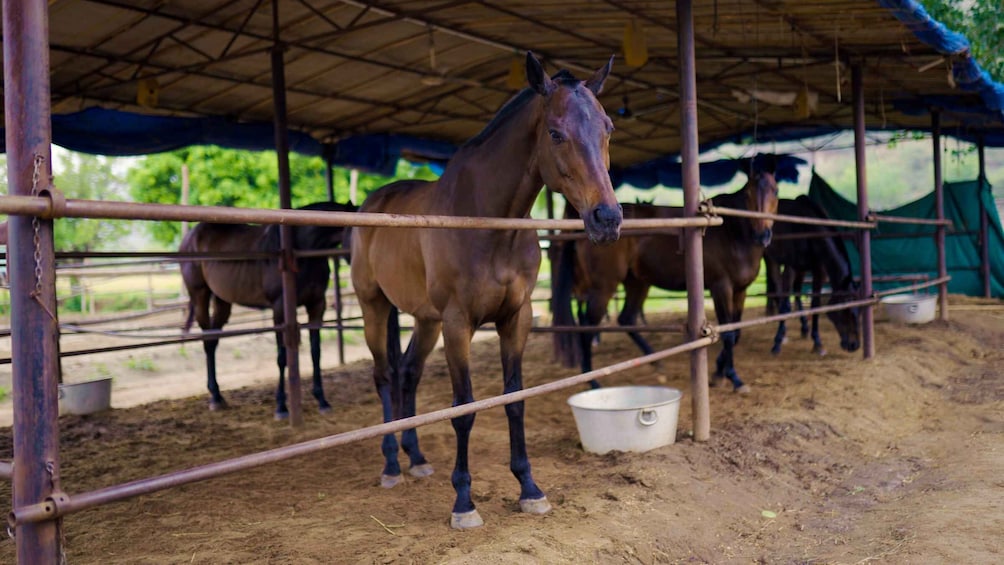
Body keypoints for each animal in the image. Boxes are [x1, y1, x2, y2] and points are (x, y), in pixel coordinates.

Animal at [182, 202, 359, 419]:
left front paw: (322, 400)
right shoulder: (280, 309)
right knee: (207, 340)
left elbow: (316, 353)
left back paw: (218, 396)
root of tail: (191, 236)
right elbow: (282, 357)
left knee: (213, 341)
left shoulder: (317, 305)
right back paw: (215, 398)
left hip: (222, 300)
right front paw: (281, 407)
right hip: (200, 295)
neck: (301, 251)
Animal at [351, 53, 618, 529]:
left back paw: (416, 458)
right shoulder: (459, 324)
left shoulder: (517, 318)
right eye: (556, 133)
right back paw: (392, 465)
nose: (607, 218)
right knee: (384, 375)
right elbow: (464, 408)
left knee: (408, 373)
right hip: (374, 307)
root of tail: (373, 202)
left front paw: (529, 488)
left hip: (425, 320)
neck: (489, 222)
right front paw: (463, 502)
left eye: (608, 128)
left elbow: (515, 400)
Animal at [554, 171, 779, 393]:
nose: (763, 235)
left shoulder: (740, 291)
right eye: (749, 192)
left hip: (637, 283)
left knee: (626, 318)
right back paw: (592, 380)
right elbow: (729, 334)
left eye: (775, 191)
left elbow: (736, 332)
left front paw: (718, 373)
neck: (732, 233)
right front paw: (733, 378)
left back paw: (656, 362)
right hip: (604, 287)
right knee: (587, 327)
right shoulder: (721, 288)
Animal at [763, 194, 859, 353]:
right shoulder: (791, 267)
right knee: (778, 290)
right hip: (771, 259)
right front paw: (777, 342)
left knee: (796, 291)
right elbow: (785, 304)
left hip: (801, 269)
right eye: (846, 311)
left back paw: (803, 327)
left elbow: (815, 304)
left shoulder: (819, 271)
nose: (854, 345)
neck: (810, 228)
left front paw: (817, 342)